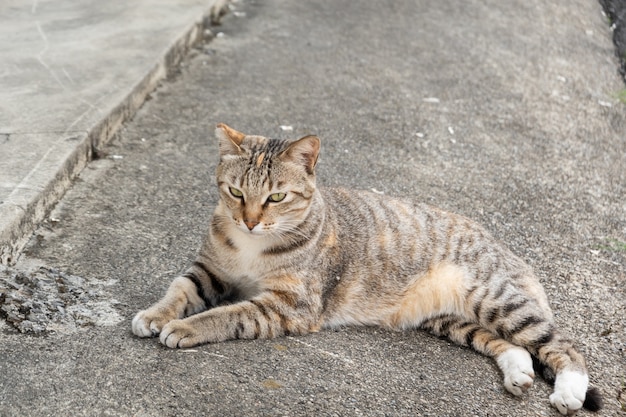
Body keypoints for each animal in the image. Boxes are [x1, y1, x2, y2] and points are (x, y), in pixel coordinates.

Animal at [133, 122, 600, 412]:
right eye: (234, 192)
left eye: (276, 197)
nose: (248, 220)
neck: (252, 246)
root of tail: (507, 249)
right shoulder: (210, 269)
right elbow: (179, 289)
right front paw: (156, 315)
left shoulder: (289, 305)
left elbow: (227, 314)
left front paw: (186, 327)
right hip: (453, 319)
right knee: (512, 345)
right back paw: (519, 373)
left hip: (494, 298)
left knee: (563, 346)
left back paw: (570, 390)